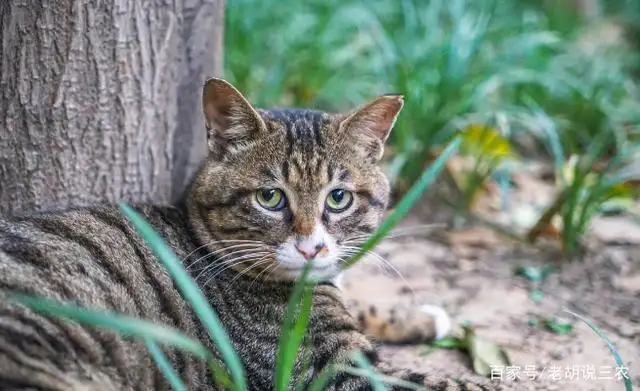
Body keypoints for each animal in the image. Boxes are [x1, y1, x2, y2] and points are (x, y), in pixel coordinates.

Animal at [0, 78, 498, 390]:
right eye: (270, 198)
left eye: (338, 198)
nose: (311, 247)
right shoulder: (329, 371)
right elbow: (442, 384)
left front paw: (420, 316)